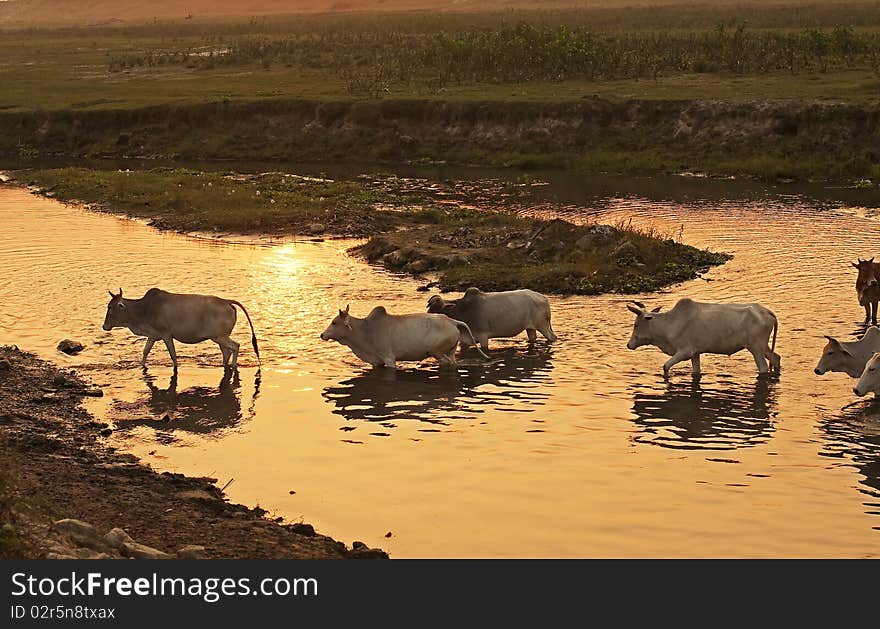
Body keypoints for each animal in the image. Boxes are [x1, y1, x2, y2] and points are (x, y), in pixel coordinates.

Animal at [320, 304, 488, 368]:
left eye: (334, 322)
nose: (322, 334)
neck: (365, 331)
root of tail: (452, 321)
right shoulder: (377, 361)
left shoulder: (389, 358)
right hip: (450, 352)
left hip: (437, 352)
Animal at [426, 288, 556, 350]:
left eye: (435, 310)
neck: (462, 310)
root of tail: (544, 298)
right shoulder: (465, 340)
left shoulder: (483, 336)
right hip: (530, 328)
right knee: (533, 337)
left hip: (543, 326)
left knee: (552, 338)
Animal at [624, 296, 780, 376]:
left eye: (636, 325)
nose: (628, 345)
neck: (668, 324)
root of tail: (767, 311)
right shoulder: (695, 353)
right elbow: (696, 371)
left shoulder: (685, 351)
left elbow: (665, 366)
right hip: (762, 346)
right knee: (776, 358)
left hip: (756, 348)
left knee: (764, 368)